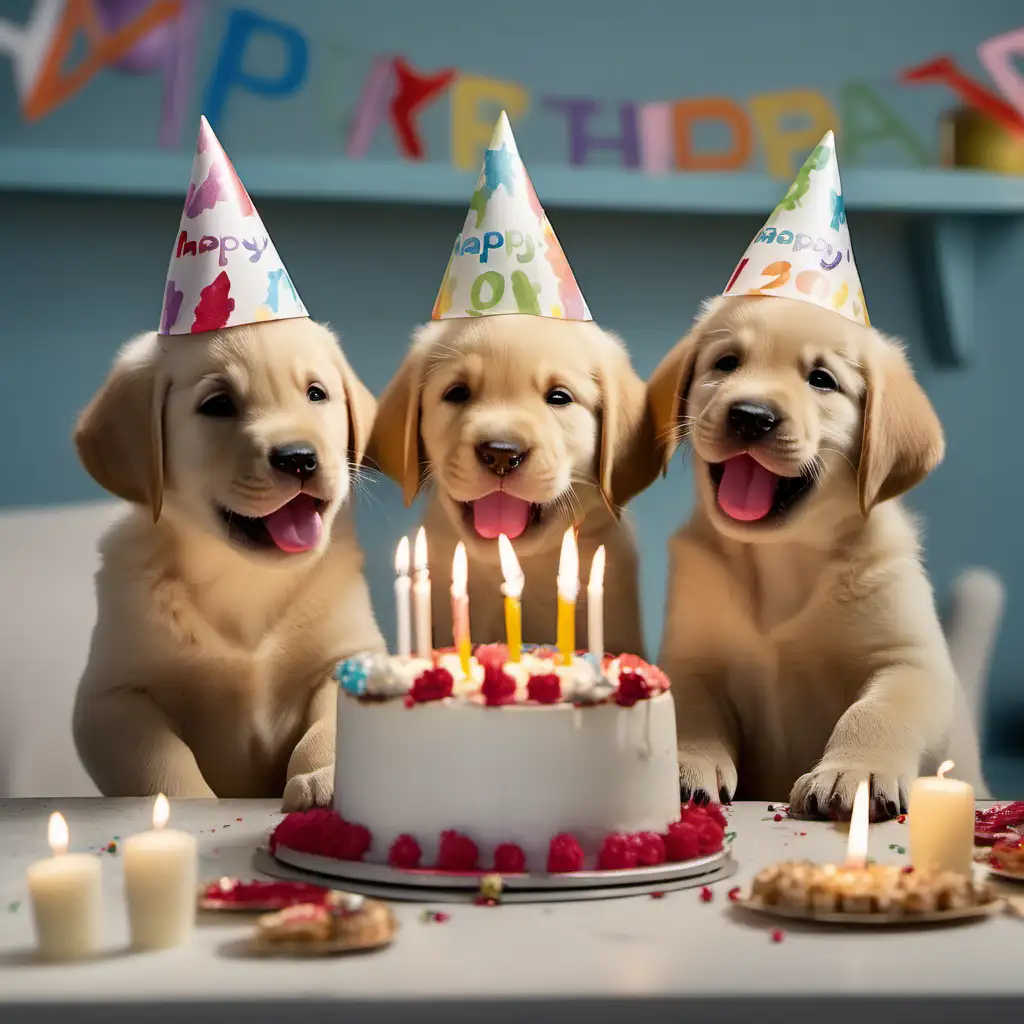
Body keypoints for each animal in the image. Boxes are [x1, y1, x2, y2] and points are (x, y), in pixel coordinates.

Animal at [72, 117, 382, 806]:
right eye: (218, 405)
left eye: (316, 394)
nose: (300, 458)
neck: (243, 580)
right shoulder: (111, 699)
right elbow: (161, 761)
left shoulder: (346, 656)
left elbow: (331, 725)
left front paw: (322, 777)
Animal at [643, 136, 987, 823]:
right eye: (726, 363)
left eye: (822, 381)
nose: (750, 415)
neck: (783, 561)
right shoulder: (691, 659)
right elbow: (689, 713)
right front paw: (688, 766)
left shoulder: (911, 662)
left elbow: (875, 711)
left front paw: (854, 773)